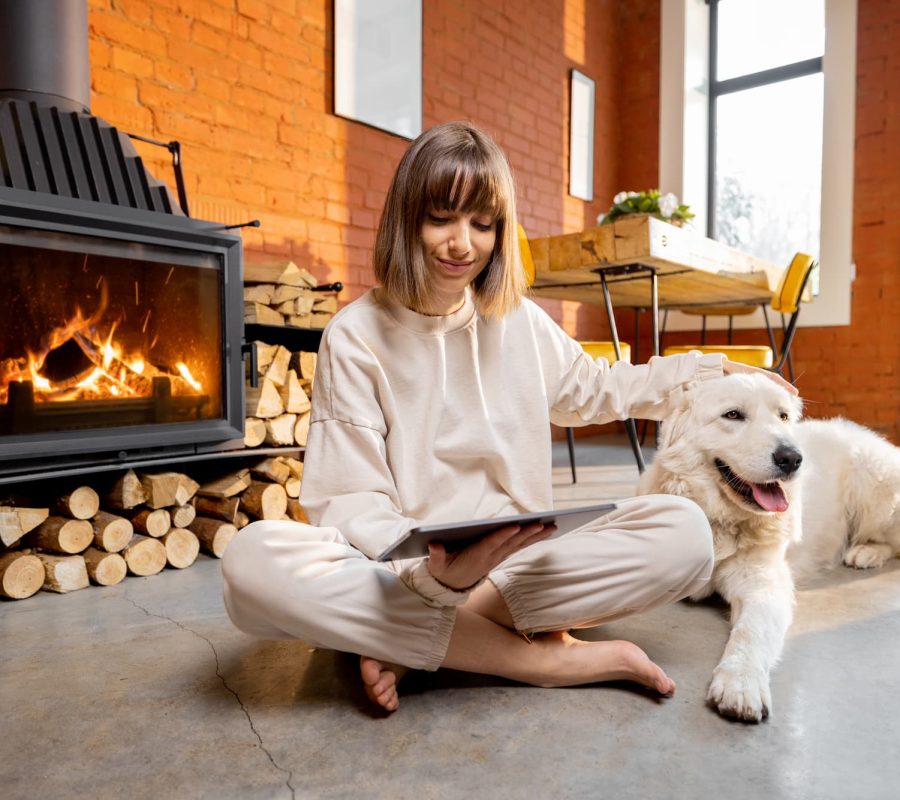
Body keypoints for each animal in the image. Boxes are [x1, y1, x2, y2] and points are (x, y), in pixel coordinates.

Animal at [636, 376, 896, 724]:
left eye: (783, 416)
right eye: (733, 415)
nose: (792, 458)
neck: (718, 519)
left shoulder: (764, 586)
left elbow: (750, 633)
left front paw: (740, 684)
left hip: (871, 477)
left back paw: (865, 552)